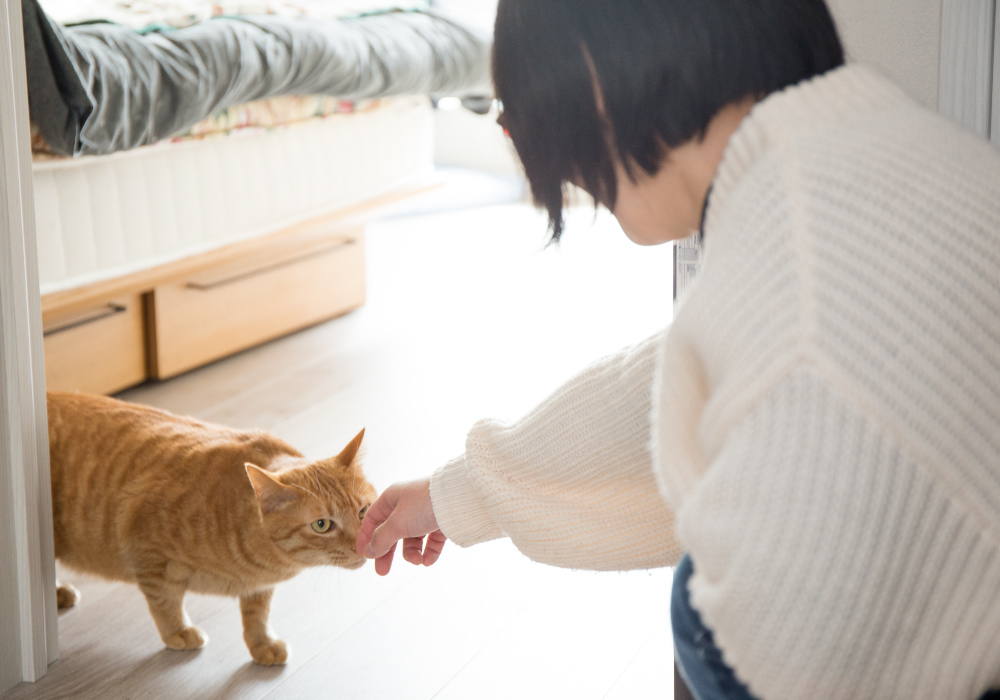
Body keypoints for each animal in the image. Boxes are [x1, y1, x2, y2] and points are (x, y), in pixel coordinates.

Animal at [47, 392, 376, 664]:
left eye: (363, 511)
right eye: (322, 525)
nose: (361, 544)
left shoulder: (260, 587)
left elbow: (258, 614)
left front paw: (261, 644)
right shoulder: (146, 552)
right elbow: (165, 601)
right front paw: (177, 632)